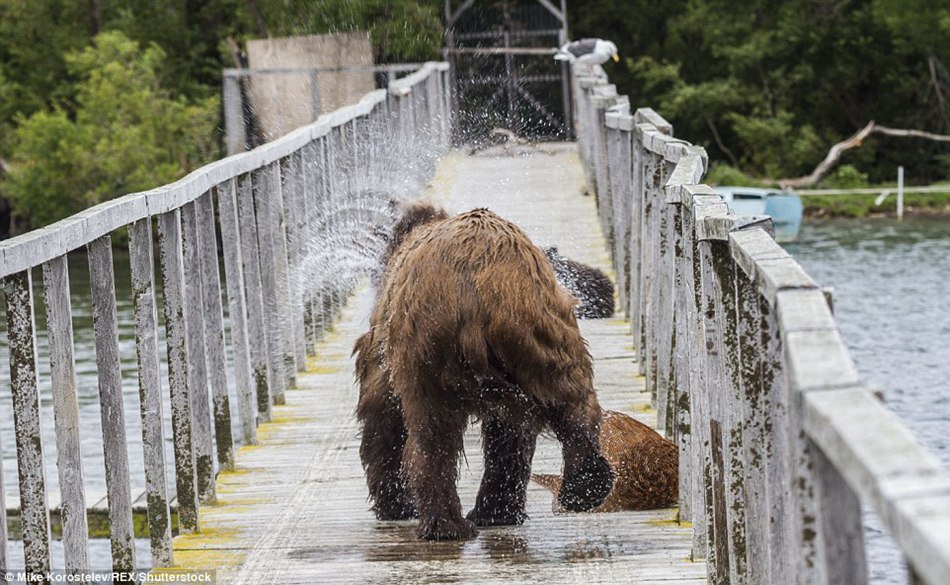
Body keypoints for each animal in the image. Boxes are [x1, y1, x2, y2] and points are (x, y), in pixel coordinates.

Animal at [354, 204, 612, 540]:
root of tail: (472, 282)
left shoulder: (387, 341)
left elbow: (381, 410)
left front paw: (395, 502)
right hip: (536, 328)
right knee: (568, 396)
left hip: (438, 344)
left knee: (435, 433)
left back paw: (449, 523)